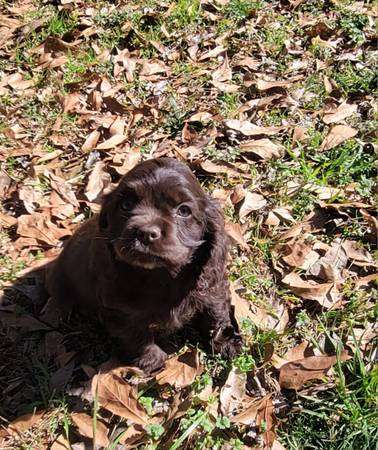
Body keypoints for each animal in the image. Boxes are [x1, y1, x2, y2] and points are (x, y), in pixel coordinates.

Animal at [46, 157, 242, 372]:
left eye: (184, 210)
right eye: (125, 205)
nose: (146, 233)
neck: (161, 275)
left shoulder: (211, 285)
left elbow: (215, 312)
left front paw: (227, 342)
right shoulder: (119, 309)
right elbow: (136, 335)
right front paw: (152, 360)